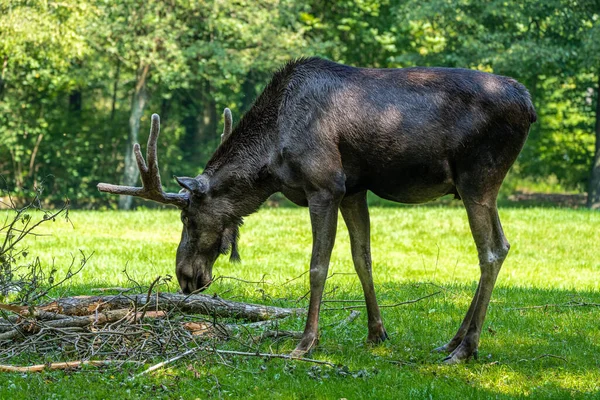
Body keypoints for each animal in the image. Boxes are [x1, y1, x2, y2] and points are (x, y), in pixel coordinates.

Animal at [98, 57, 536, 362]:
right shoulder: (354, 188)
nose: (185, 276)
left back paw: (466, 348)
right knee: (502, 245)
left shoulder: (325, 185)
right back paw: (454, 339)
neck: (272, 157)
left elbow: (317, 265)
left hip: (478, 176)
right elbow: (362, 258)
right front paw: (376, 333)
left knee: (491, 250)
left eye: (186, 216)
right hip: (476, 184)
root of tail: (530, 106)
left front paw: (306, 342)